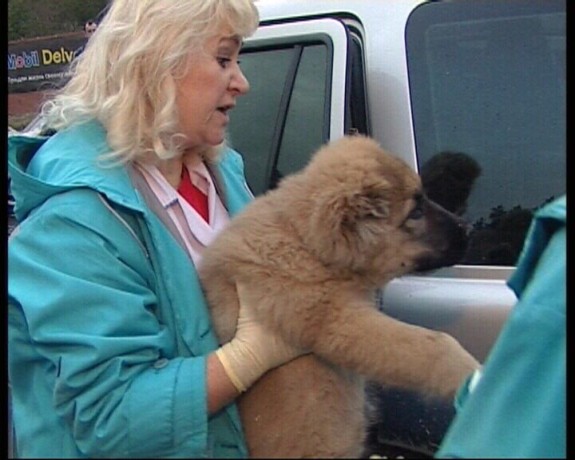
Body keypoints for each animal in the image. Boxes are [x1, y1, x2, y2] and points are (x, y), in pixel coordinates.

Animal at [198, 135, 482, 458]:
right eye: (415, 212)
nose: (469, 230)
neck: (307, 242)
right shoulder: (338, 320)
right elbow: (434, 344)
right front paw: (474, 374)